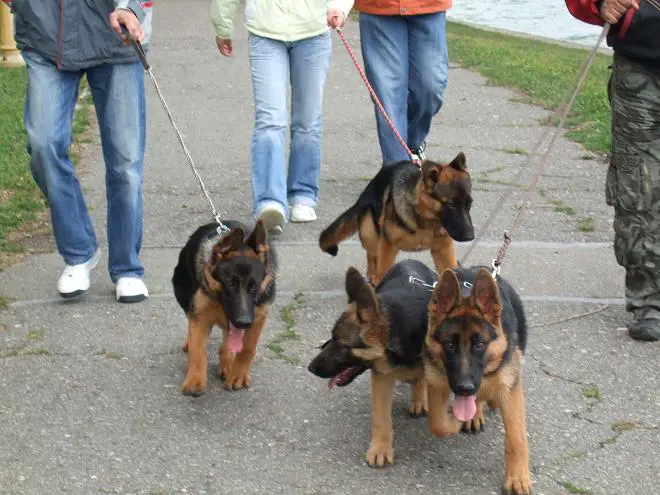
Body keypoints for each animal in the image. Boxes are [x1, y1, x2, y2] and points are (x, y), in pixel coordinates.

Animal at [171, 220, 277, 396]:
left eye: (254, 287)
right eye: (229, 284)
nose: (244, 322)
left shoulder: (258, 317)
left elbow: (248, 349)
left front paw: (238, 375)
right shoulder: (200, 316)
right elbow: (197, 349)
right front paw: (195, 380)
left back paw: (227, 362)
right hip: (184, 295)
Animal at [307, 259, 437, 467]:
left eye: (341, 343)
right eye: (331, 338)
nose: (310, 368)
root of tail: (410, 260)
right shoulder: (381, 376)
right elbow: (381, 418)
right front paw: (380, 449)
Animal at [319, 153, 474, 286]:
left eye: (469, 203)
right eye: (451, 205)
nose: (470, 236)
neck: (425, 219)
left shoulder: (444, 252)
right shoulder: (388, 247)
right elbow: (383, 270)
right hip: (370, 233)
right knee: (372, 254)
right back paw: (371, 275)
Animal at [423, 266, 531, 495]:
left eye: (479, 343)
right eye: (449, 345)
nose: (464, 388)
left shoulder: (511, 389)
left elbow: (516, 437)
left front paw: (518, 478)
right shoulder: (437, 382)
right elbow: (438, 424)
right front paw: (457, 421)